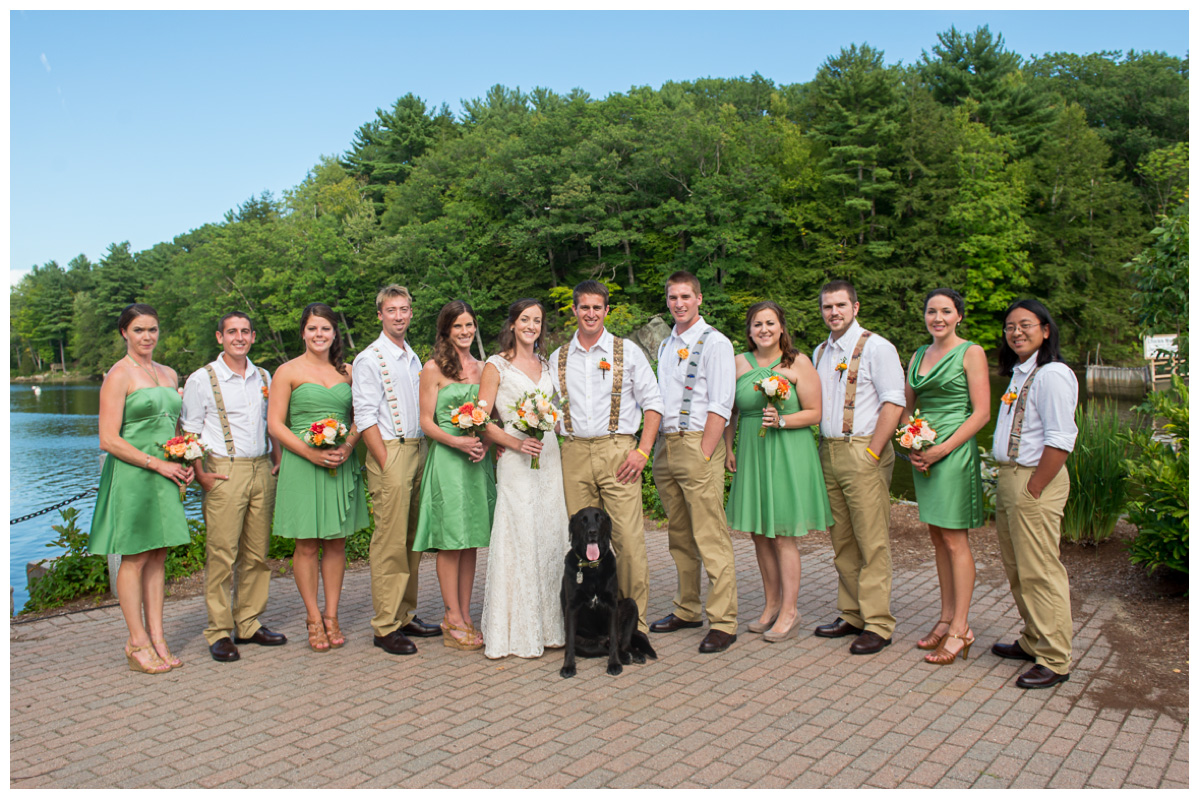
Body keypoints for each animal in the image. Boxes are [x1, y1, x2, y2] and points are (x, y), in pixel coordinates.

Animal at [559, 506, 657, 676]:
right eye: (583, 520)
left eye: (600, 518)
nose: (592, 532)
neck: (592, 568)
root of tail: (602, 637)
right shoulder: (571, 608)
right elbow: (569, 643)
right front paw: (568, 666)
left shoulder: (612, 606)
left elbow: (614, 642)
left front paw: (614, 664)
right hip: (585, 644)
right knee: (605, 646)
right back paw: (626, 657)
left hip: (631, 605)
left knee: (621, 643)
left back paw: (634, 655)